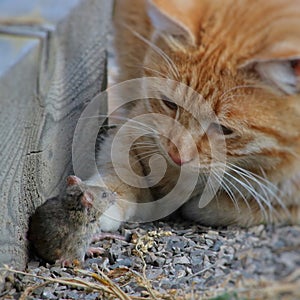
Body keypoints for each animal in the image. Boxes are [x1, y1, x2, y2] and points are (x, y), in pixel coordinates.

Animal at [91, 0, 300, 231]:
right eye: (170, 104)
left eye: (224, 129)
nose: (176, 155)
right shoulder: (137, 125)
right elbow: (121, 165)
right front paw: (107, 198)